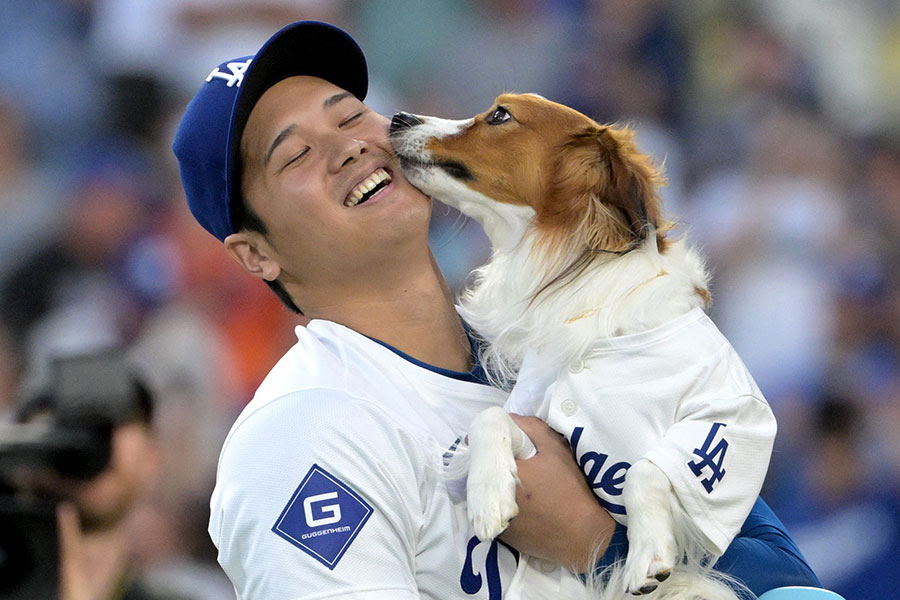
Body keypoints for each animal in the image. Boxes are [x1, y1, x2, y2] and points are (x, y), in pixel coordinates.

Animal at [390, 95, 776, 600]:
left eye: (500, 115)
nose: (397, 119)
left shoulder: (735, 421)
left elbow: (645, 470)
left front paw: (648, 556)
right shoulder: (541, 426)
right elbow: (490, 417)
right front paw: (489, 494)